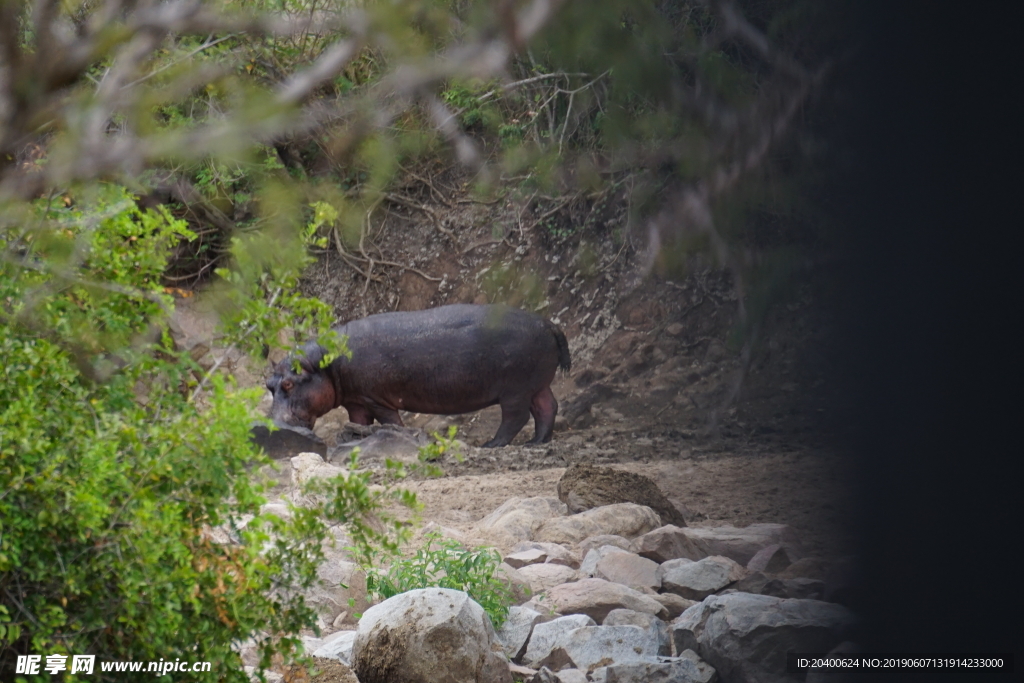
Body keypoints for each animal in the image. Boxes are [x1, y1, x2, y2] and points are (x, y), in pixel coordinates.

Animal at [264, 305, 573, 448]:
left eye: (289, 383)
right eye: (268, 385)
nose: (274, 427)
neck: (323, 363)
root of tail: (549, 323)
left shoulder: (376, 399)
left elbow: (390, 420)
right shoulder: (357, 400)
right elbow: (358, 422)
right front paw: (353, 441)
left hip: (515, 389)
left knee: (515, 416)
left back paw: (492, 444)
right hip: (536, 384)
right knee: (547, 407)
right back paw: (537, 442)